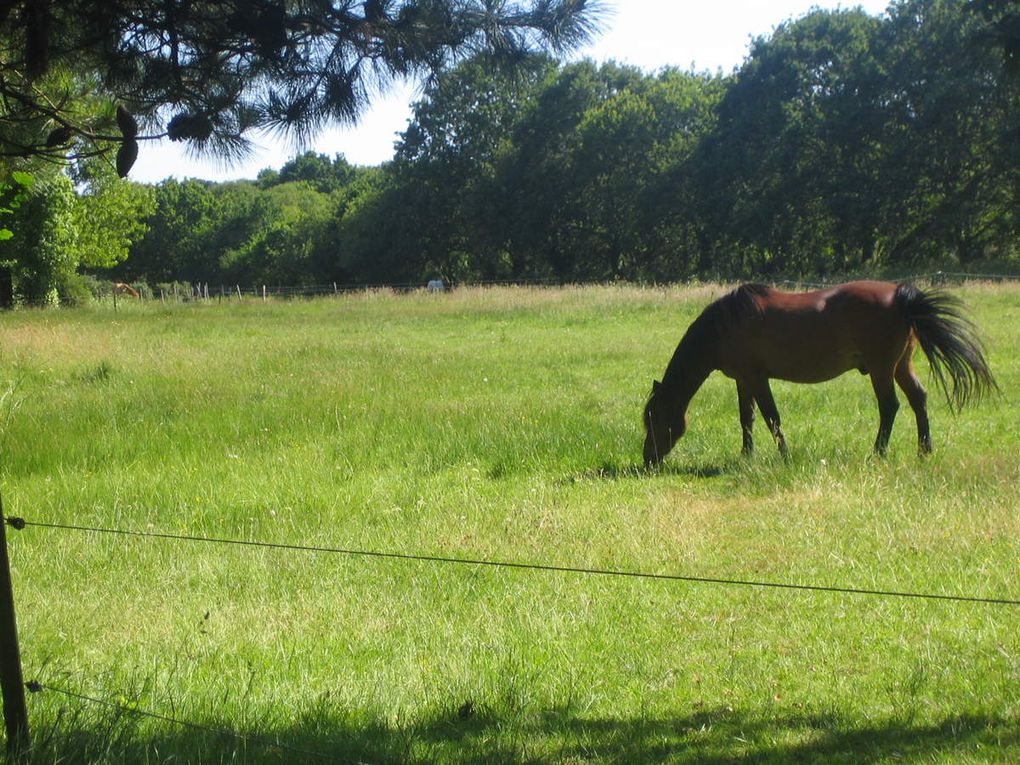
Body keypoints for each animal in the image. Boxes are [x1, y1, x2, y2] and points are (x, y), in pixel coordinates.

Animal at [640, 279, 999, 465]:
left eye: (655, 419)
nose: (648, 458)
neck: (725, 324)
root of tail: (900, 295)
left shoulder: (756, 377)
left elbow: (772, 417)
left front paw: (784, 455)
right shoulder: (743, 379)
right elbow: (747, 418)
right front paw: (746, 455)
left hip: (882, 368)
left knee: (890, 406)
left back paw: (878, 452)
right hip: (901, 365)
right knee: (918, 400)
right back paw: (924, 450)